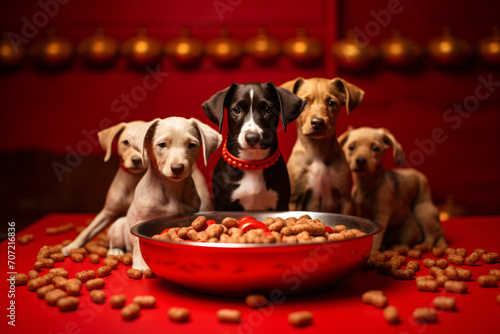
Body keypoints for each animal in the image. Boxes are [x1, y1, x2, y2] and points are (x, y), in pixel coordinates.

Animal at [61, 121, 146, 254]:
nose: (137, 160)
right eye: (126, 142)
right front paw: (72, 246)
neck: (133, 180)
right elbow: (87, 231)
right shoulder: (107, 212)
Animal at [202, 82, 304, 210]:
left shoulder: (281, 203)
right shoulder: (223, 204)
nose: (252, 138)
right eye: (236, 110)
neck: (252, 162)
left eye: (268, 109)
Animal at [282, 77, 364, 213]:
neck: (317, 150)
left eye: (331, 102)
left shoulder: (345, 199)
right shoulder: (295, 199)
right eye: (304, 102)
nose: (317, 122)